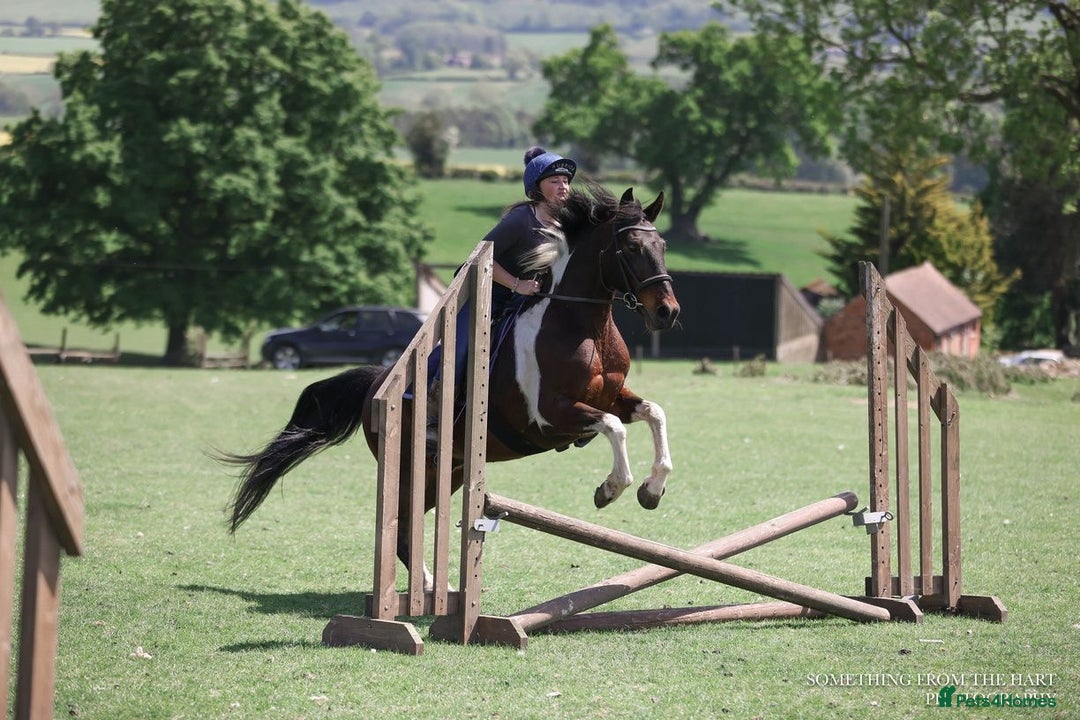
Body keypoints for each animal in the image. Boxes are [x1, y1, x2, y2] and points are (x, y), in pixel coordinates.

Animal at [223, 185, 681, 583]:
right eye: (631, 247)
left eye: (661, 246)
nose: (667, 312)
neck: (582, 324)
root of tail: (377, 385)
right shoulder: (550, 416)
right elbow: (614, 427)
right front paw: (611, 488)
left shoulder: (613, 397)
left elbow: (654, 413)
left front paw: (652, 489)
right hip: (414, 467)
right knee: (401, 528)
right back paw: (425, 589)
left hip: (451, 469)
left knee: (407, 527)